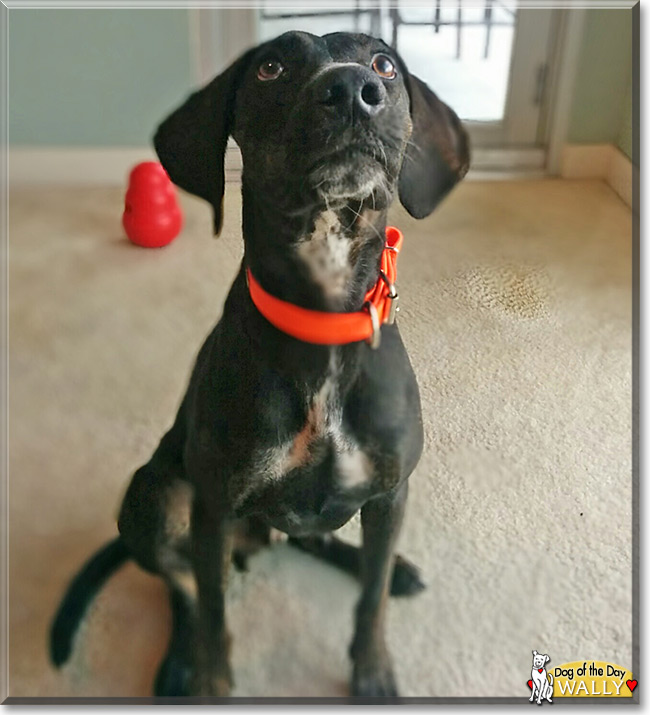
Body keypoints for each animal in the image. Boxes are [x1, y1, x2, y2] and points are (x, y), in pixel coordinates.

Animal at [49, 30, 466, 696]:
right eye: (271, 67)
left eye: (384, 64)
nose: (352, 89)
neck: (323, 317)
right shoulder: (213, 509)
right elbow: (214, 614)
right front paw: (209, 680)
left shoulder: (390, 491)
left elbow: (370, 599)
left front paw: (373, 669)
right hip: (154, 495)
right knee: (182, 588)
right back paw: (179, 660)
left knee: (321, 545)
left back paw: (388, 567)